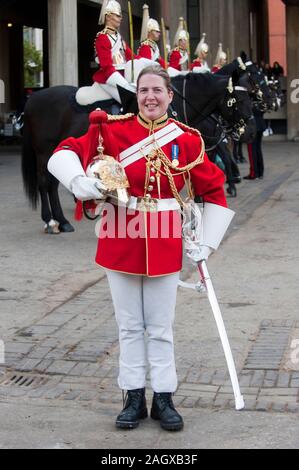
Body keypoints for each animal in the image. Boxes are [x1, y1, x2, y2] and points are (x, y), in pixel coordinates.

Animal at [21, 72, 255, 233]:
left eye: (251, 97)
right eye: (239, 99)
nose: (251, 131)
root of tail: (33, 99)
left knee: (52, 184)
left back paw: (62, 221)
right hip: (44, 152)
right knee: (46, 183)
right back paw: (52, 221)